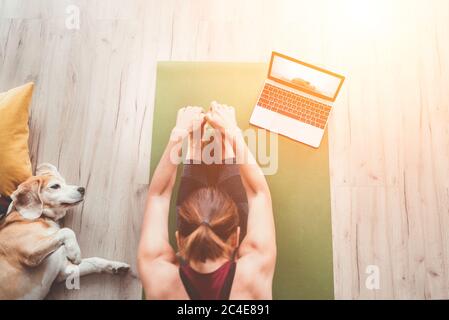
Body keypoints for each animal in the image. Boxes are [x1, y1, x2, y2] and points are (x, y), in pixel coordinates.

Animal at [0, 162, 130, 300]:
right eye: (55, 186)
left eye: (65, 182)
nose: (82, 189)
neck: (43, 218)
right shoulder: (30, 252)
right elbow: (66, 230)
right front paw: (74, 252)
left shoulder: (63, 271)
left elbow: (95, 261)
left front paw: (116, 266)